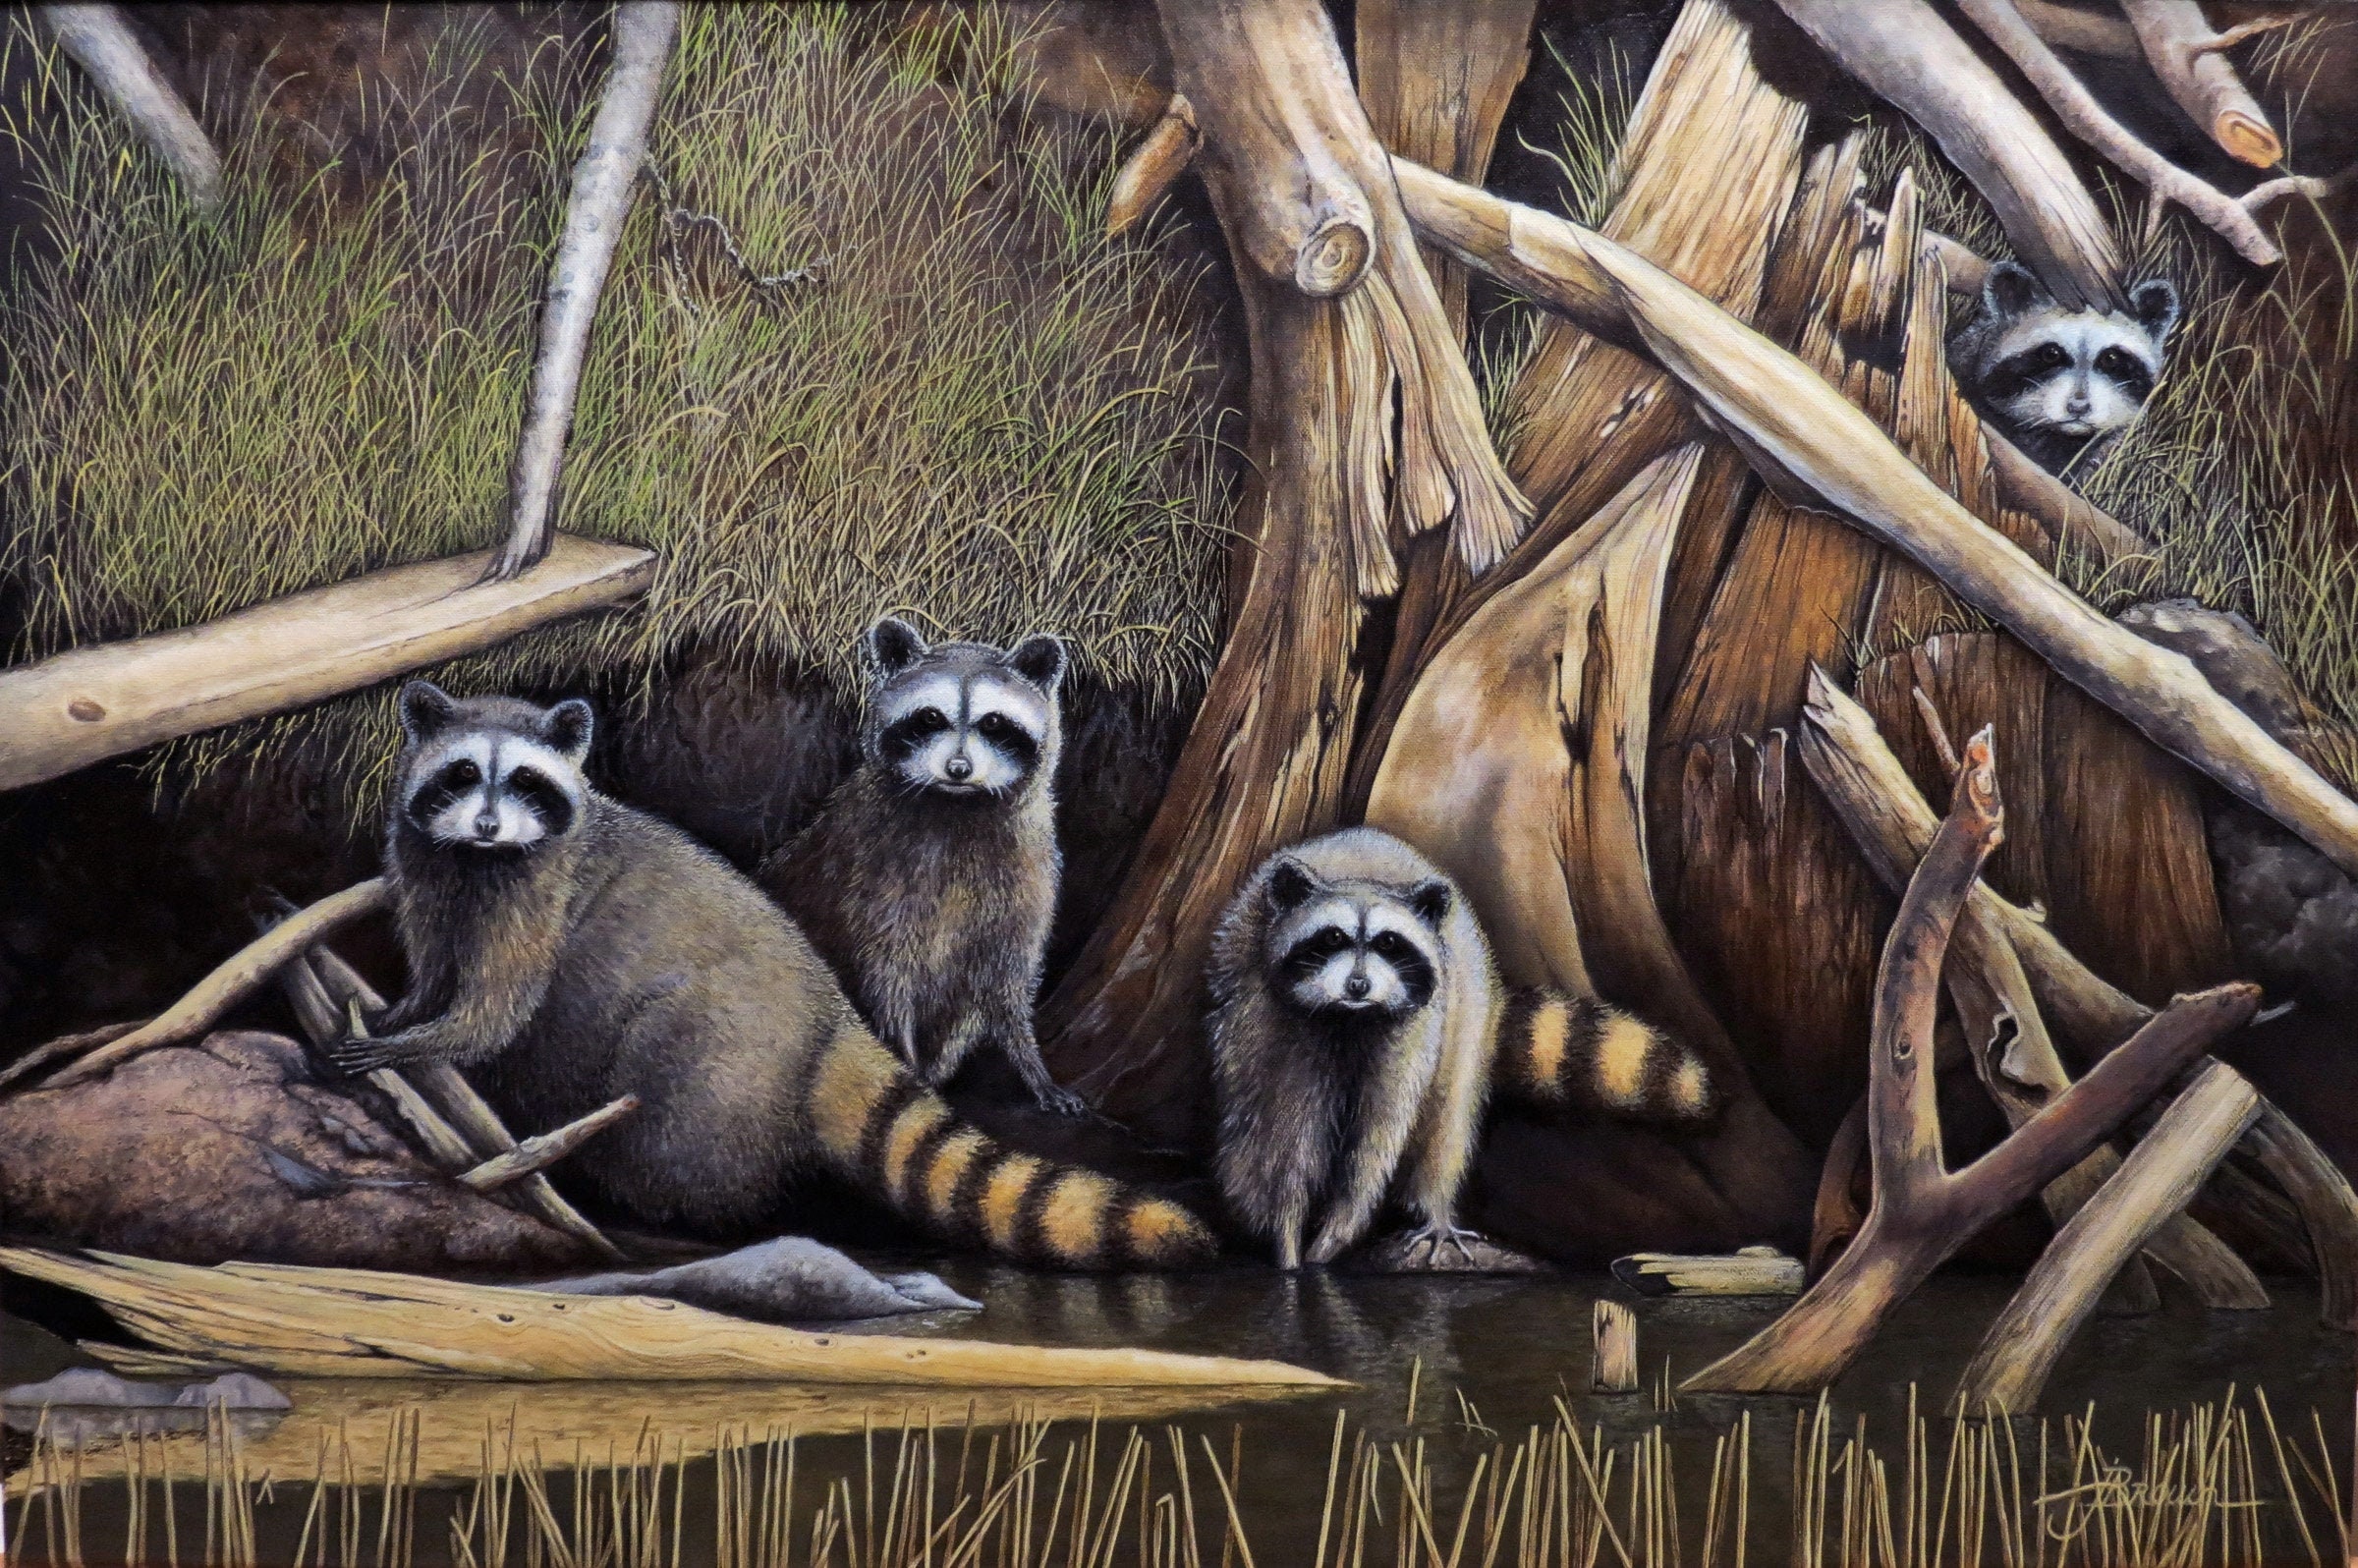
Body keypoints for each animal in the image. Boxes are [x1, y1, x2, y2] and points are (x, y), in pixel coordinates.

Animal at [332, 680, 1212, 1269]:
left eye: (520, 780)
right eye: (459, 774)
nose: (485, 824)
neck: (476, 860)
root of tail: (830, 1015)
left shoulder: (536, 893)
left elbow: (498, 1006)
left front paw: (420, 1043)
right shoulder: (427, 868)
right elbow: (437, 958)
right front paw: (405, 1010)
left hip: (723, 1054)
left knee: (677, 1124)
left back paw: (666, 1218)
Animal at [760, 617, 1083, 1115]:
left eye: (994, 722)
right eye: (931, 718)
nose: (958, 767)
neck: (958, 807)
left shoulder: (1028, 877)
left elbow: (1008, 981)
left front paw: (1031, 1065)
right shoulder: (876, 876)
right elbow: (888, 976)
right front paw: (903, 1059)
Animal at [1205, 827, 1718, 1270]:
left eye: (1388, 943)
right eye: (1332, 938)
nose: (1358, 984)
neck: (1348, 1019)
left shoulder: (1418, 1023)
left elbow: (1382, 1131)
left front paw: (1340, 1227)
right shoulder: (1263, 1010)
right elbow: (1280, 1129)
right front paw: (1287, 1233)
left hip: (1466, 989)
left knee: (1448, 1112)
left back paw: (1435, 1210)